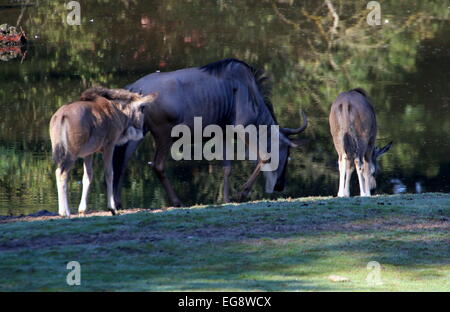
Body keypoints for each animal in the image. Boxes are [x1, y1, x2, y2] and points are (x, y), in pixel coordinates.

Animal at [49, 86, 157, 216]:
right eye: (143, 107)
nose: (142, 130)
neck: (117, 110)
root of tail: (61, 116)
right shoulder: (109, 146)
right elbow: (109, 173)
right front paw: (112, 208)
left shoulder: (88, 153)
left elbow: (87, 177)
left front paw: (82, 209)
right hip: (71, 154)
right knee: (62, 173)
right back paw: (66, 212)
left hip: (60, 153)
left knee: (58, 172)